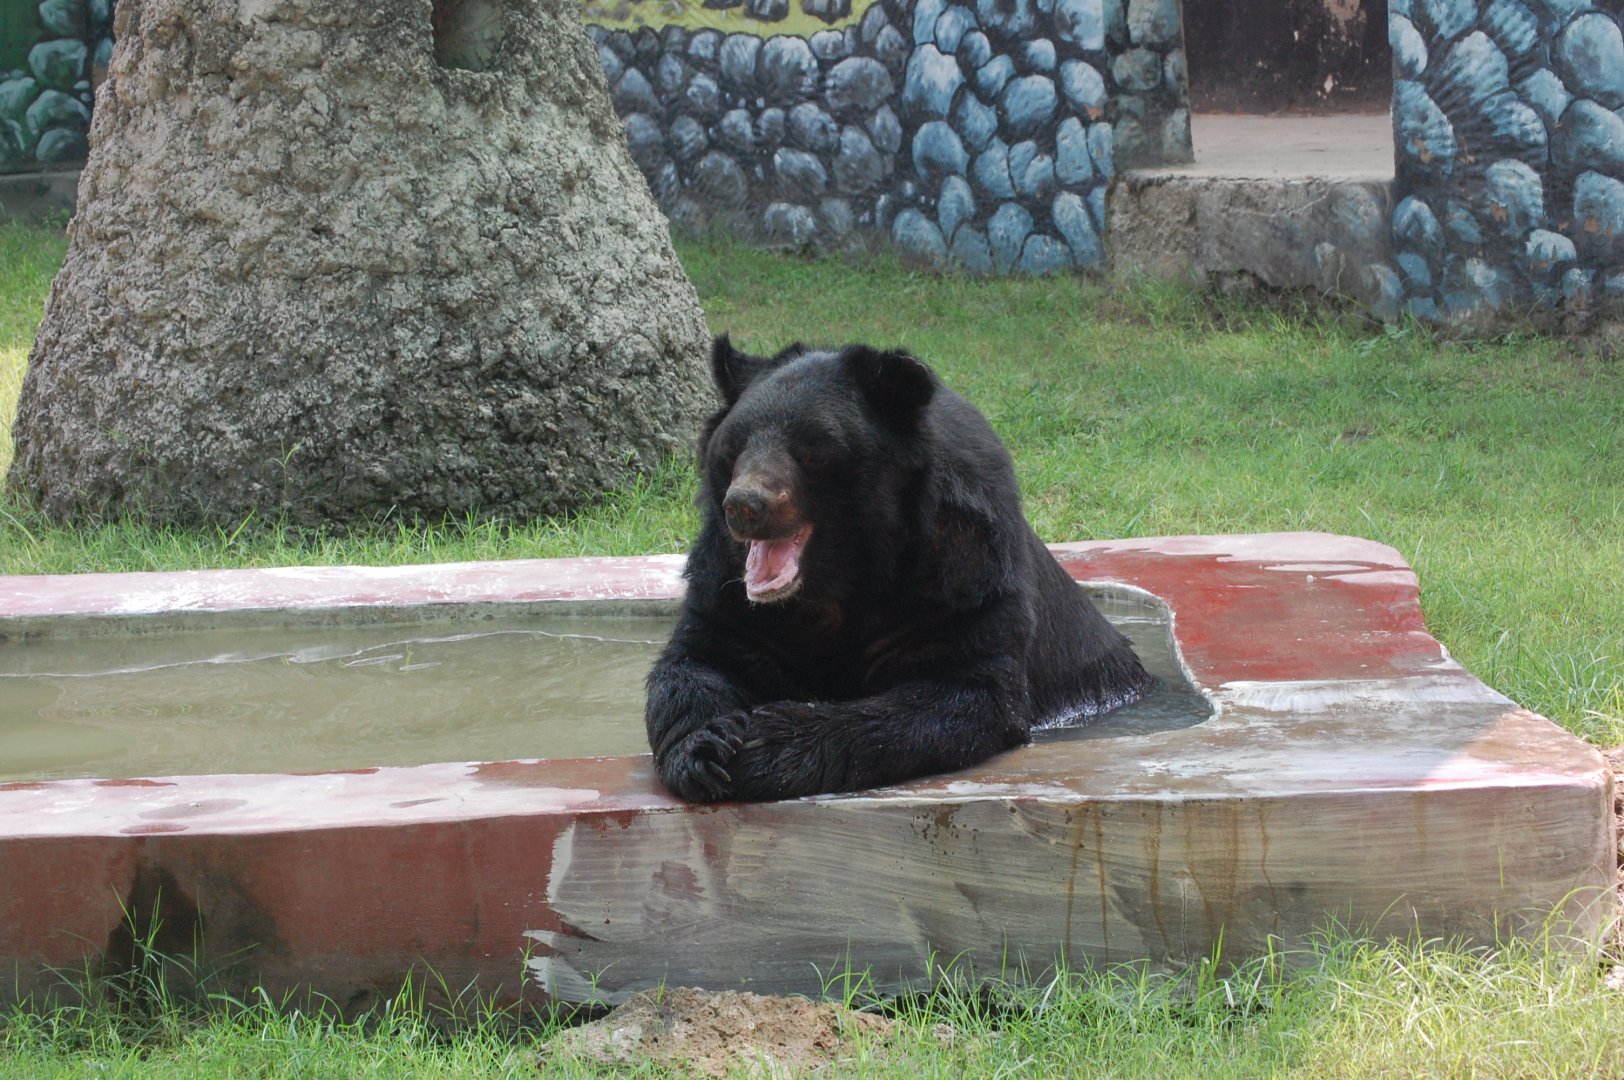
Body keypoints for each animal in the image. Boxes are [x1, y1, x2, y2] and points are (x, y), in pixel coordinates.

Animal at [644, 336, 1151, 802]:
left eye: (813, 450)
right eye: (733, 449)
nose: (745, 505)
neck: (840, 581)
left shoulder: (960, 577)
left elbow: (959, 691)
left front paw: (764, 743)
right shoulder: (729, 588)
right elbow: (699, 659)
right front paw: (707, 747)